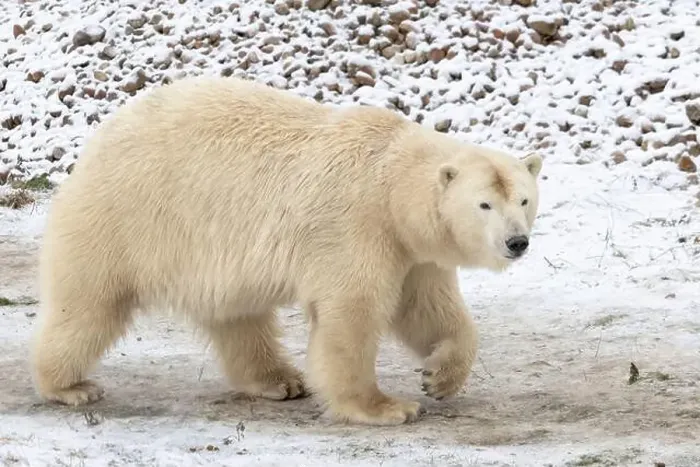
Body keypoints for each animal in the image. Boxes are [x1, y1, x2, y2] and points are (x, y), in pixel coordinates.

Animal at [30, 76, 543, 426]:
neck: (387, 179)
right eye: (484, 204)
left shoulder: (413, 250)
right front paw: (385, 407)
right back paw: (70, 386)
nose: (516, 242)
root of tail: (95, 144)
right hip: (126, 219)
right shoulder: (356, 225)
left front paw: (440, 376)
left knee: (238, 316)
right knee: (89, 305)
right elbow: (354, 312)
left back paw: (279, 381)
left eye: (523, 199)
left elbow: (428, 308)